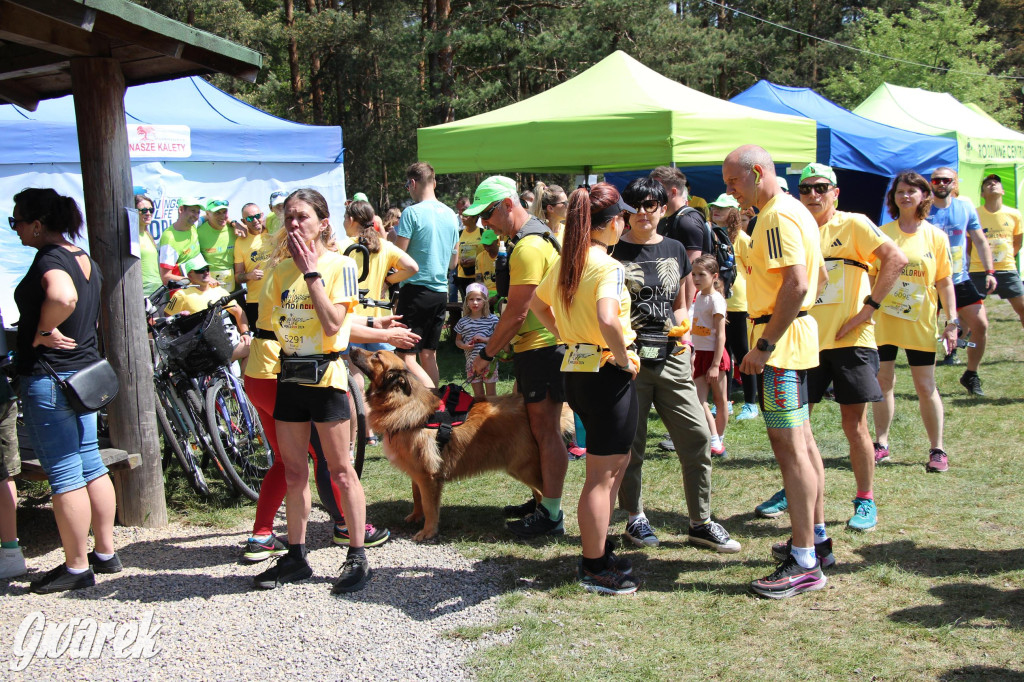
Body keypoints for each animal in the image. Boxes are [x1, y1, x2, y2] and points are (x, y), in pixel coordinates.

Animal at [350, 348, 577, 540]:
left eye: (376, 356)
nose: (351, 349)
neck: (403, 403)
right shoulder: (417, 472)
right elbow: (417, 497)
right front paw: (415, 516)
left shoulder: (428, 475)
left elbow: (430, 506)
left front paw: (428, 531)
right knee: (539, 493)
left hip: (523, 467)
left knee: (547, 491)